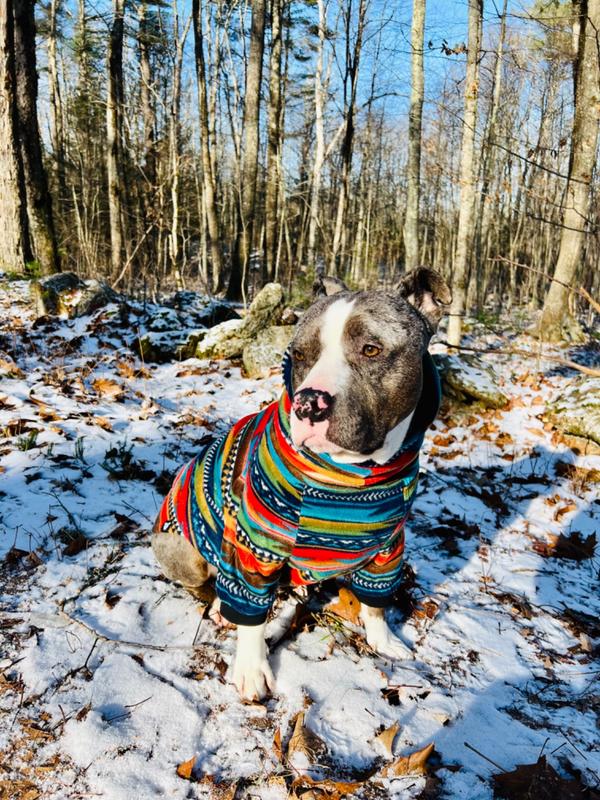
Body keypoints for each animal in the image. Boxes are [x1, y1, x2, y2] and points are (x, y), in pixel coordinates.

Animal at [152, 268, 452, 700]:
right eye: (298, 354)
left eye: (371, 349)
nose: (309, 402)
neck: (352, 477)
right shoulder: (255, 544)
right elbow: (251, 616)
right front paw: (251, 668)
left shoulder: (388, 546)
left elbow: (376, 600)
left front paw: (383, 639)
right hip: (182, 550)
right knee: (205, 584)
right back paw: (219, 609)